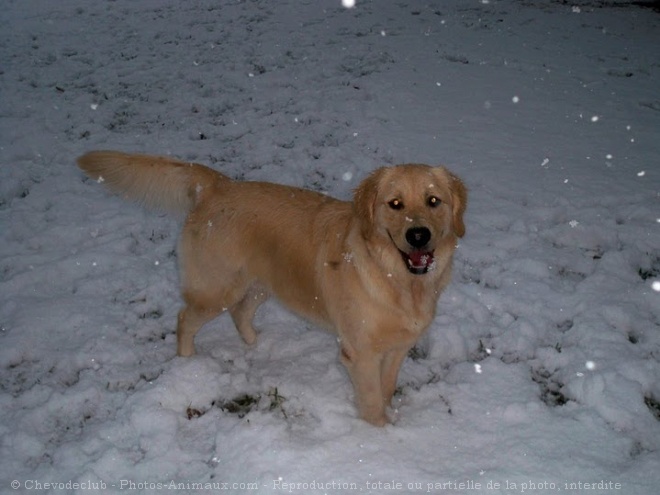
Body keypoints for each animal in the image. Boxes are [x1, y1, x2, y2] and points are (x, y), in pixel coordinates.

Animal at [77, 152, 466, 426]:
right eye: (395, 204)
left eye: (433, 201)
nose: (418, 235)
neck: (397, 279)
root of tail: (218, 184)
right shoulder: (360, 353)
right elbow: (370, 401)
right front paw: (380, 436)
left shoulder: (398, 347)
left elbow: (386, 388)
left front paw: (392, 417)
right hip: (217, 289)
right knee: (185, 318)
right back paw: (187, 363)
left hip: (264, 283)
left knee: (240, 313)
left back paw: (256, 345)